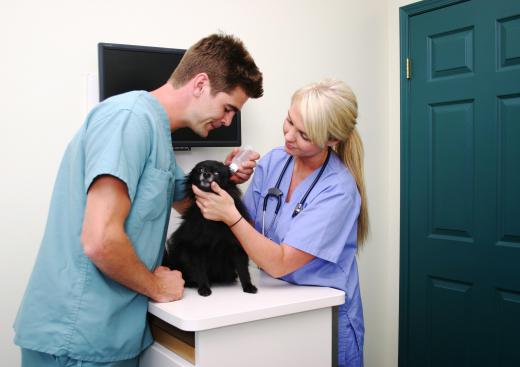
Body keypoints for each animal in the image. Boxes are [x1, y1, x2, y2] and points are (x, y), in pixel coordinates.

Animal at [164, 162, 256, 300]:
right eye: (201, 169)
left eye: (217, 173)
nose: (206, 174)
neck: (213, 220)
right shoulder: (196, 248)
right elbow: (200, 270)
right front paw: (204, 288)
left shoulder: (237, 246)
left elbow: (243, 269)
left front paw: (248, 285)